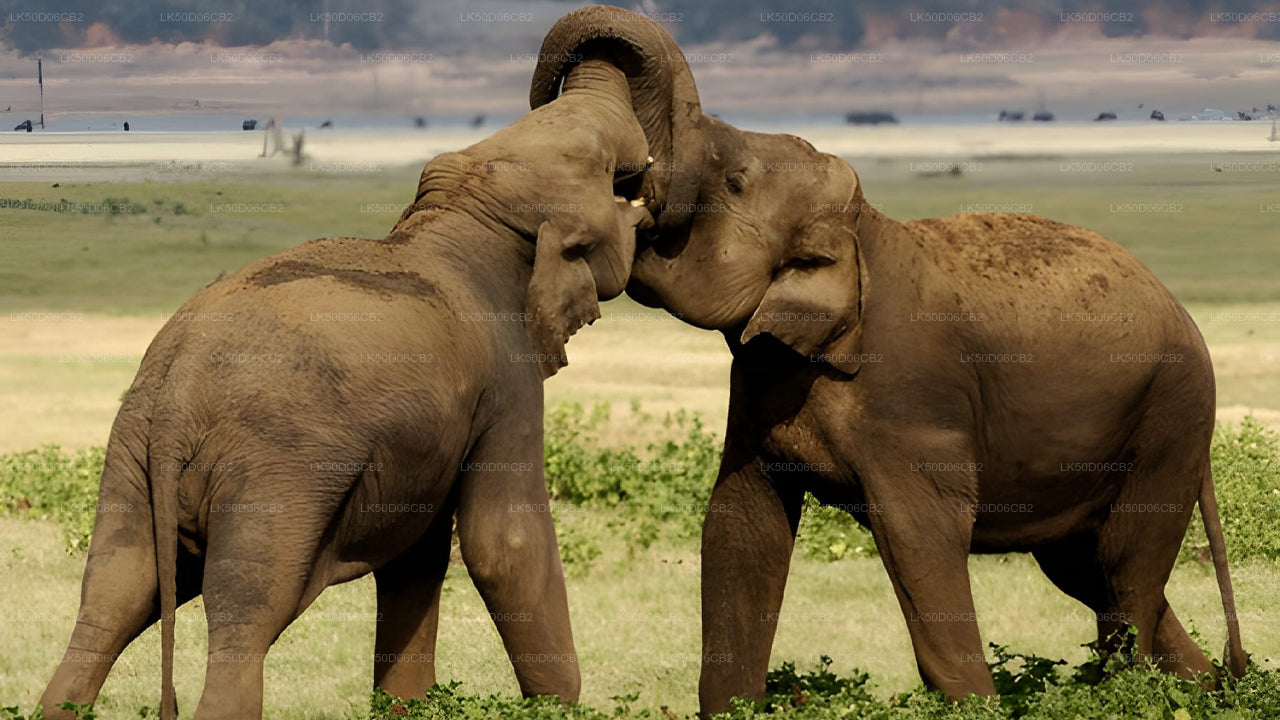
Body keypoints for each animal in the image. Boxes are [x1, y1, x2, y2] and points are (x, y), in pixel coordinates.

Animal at [38, 56, 652, 720]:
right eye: (604, 174)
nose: (645, 194)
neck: (456, 220)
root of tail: (178, 394)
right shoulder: (506, 382)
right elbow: (504, 543)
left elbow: (418, 555)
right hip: (274, 474)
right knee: (247, 615)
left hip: (130, 453)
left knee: (114, 596)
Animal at [531, 6, 1248, 715]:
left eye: (734, 182)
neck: (864, 231)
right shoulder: (761, 377)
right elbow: (741, 525)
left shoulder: (912, 398)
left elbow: (918, 537)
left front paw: (973, 705)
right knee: (1088, 570)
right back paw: (1206, 690)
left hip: (1173, 416)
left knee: (1127, 572)